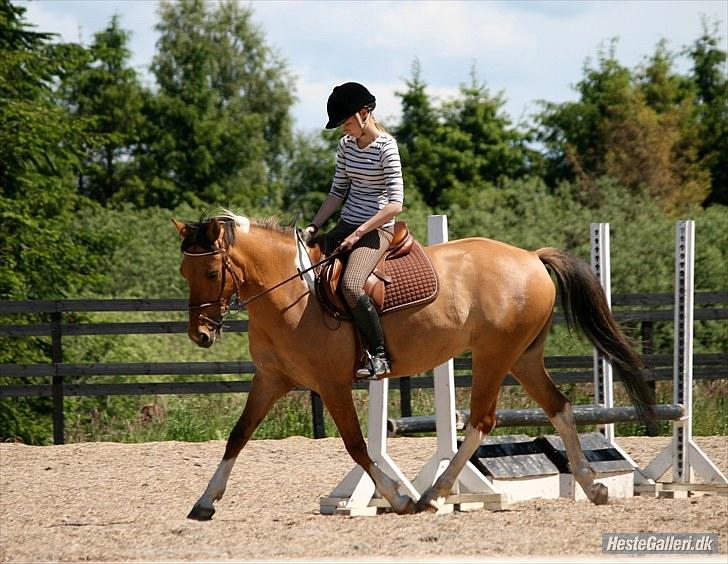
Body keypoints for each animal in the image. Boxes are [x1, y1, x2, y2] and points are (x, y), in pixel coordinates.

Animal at [172, 213, 656, 520]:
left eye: (211, 273)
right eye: (184, 273)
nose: (201, 335)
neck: (291, 292)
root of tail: (532, 257)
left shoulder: (331, 385)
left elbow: (357, 446)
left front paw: (396, 498)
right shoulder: (271, 379)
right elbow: (237, 436)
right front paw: (204, 503)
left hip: (494, 355)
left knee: (482, 420)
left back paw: (431, 495)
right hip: (523, 357)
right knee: (558, 408)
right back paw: (592, 485)